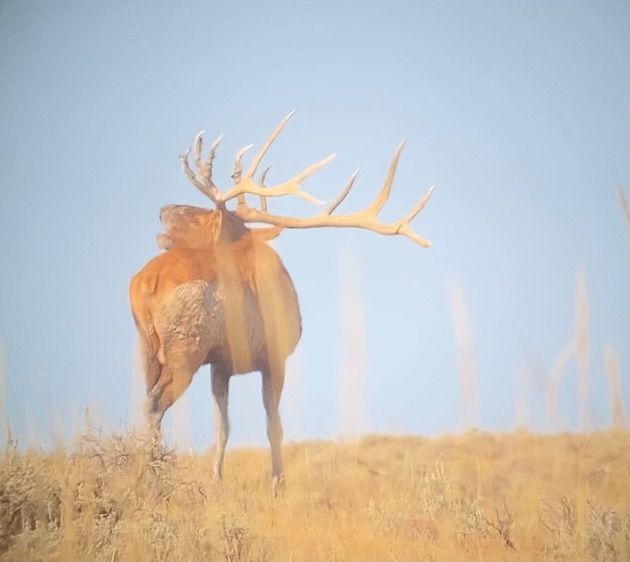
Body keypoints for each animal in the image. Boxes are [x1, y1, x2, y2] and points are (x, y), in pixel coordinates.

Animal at [129, 112, 434, 492]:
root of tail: (144, 283)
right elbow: (274, 425)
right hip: (186, 347)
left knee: (145, 401)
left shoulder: (222, 363)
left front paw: (217, 480)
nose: (165, 208)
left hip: (147, 348)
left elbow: (223, 426)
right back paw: (154, 478)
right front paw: (278, 482)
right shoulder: (275, 354)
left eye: (200, 214)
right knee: (156, 403)